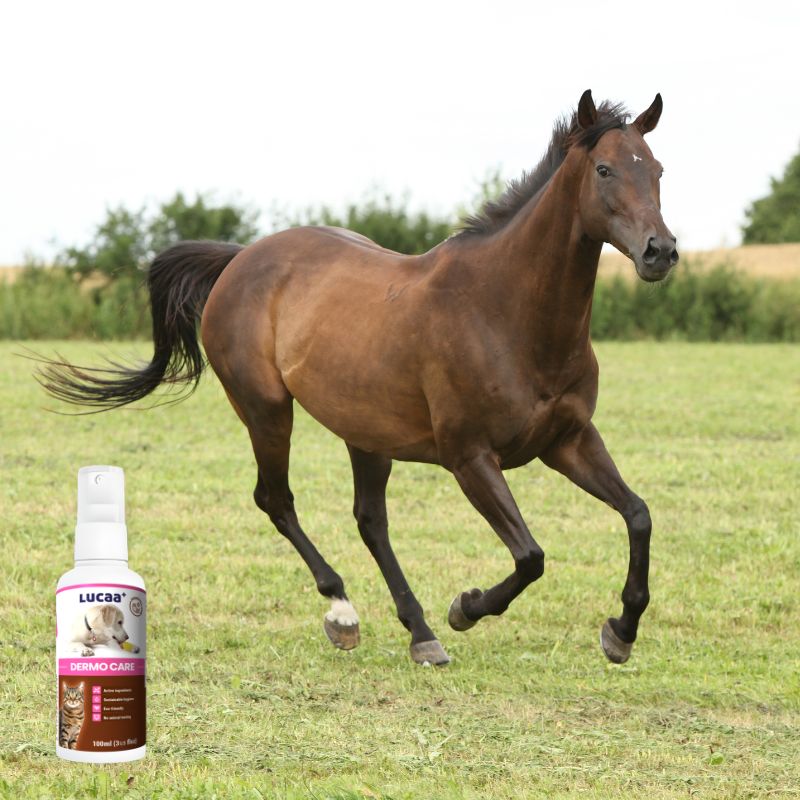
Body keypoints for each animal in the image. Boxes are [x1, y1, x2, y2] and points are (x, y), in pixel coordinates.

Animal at [40, 90, 678, 667]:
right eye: (604, 169)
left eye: (658, 169)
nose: (661, 252)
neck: (505, 312)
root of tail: (241, 259)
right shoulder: (470, 457)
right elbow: (530, 556)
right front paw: (465, 608)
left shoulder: (568, 441)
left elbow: (639, 515)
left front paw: (620, 631)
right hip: (267, 411)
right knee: (277, 500)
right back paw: (346, 613)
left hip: (366, 433)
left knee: (370, 520)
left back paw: (419, 632)